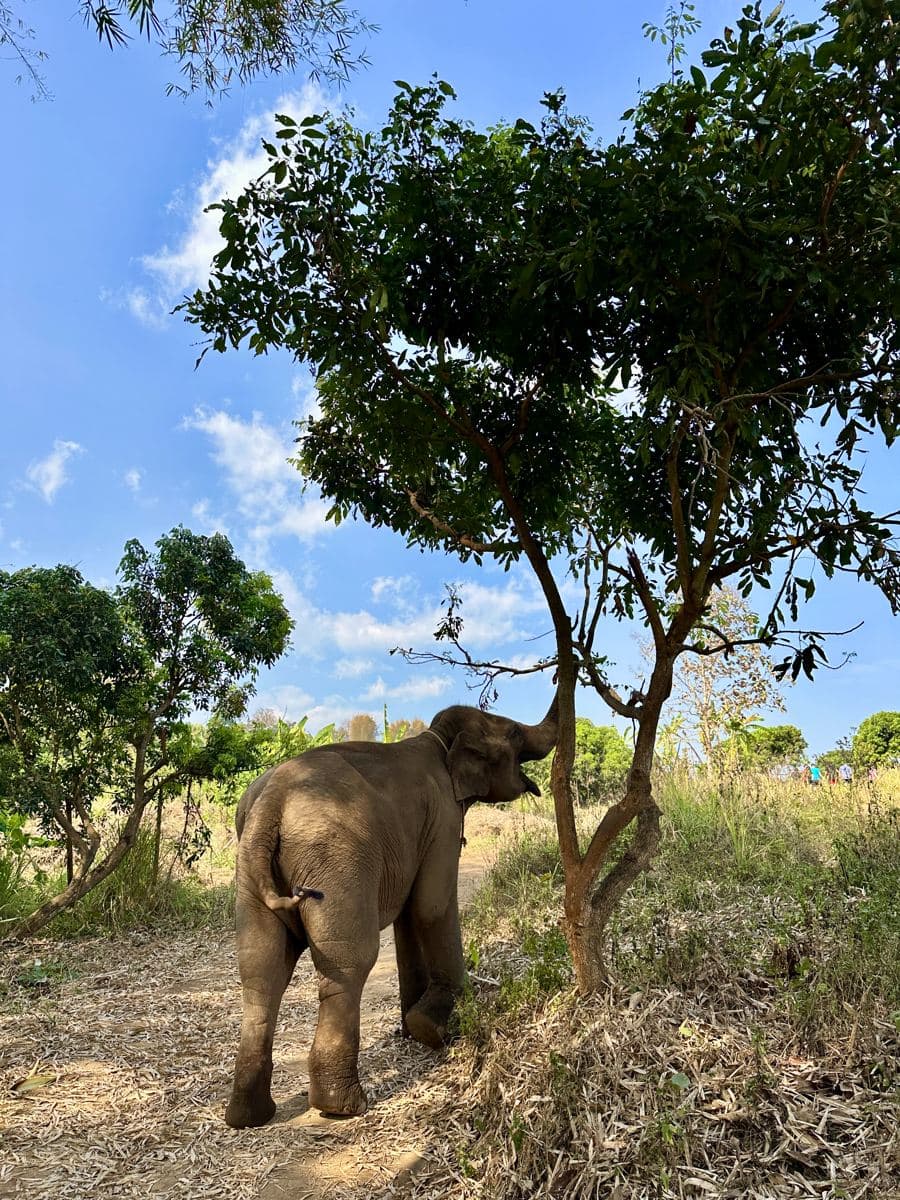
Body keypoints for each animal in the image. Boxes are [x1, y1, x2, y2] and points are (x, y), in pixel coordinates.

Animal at [225, 698, 557, 1128]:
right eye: (515, 733)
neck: (439, 740)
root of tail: (271, 804)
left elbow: (409, 916)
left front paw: (413, 1028)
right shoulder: (443, 817)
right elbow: (432, 906)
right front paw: (440, 1024)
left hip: (250, 870)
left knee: (261, 969)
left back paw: (249, 1115)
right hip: (335, 862)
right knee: (349, 962)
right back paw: (342, 1106)